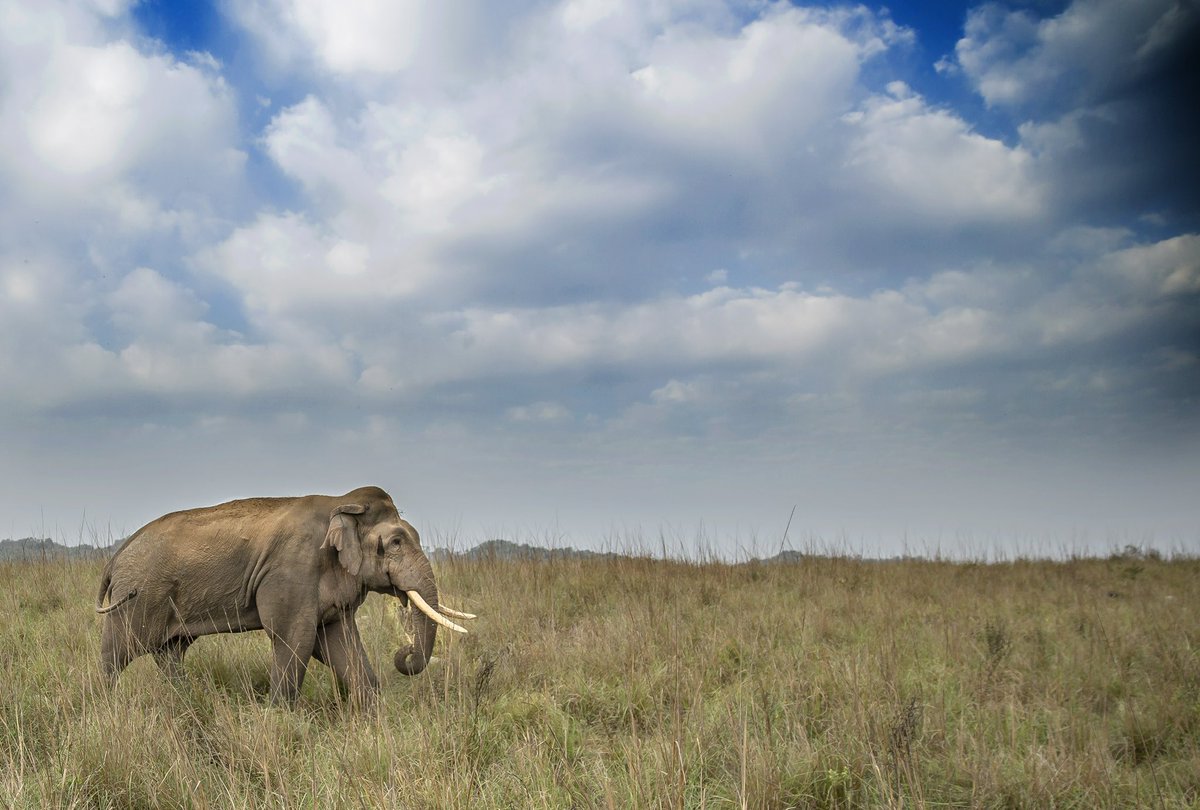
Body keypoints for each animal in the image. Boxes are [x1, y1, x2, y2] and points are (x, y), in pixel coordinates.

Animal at [95, 486, 474, 706]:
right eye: (395, 542)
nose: (405, 652)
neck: (342, 503)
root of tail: (116, 557)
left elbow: (339, 642)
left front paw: (372, 714)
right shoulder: (294, 571)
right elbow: (296, 639)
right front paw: (280, 717)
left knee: (170, 652)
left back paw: (185, 700)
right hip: (139, 597)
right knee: (120, 651)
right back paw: (106, 706)